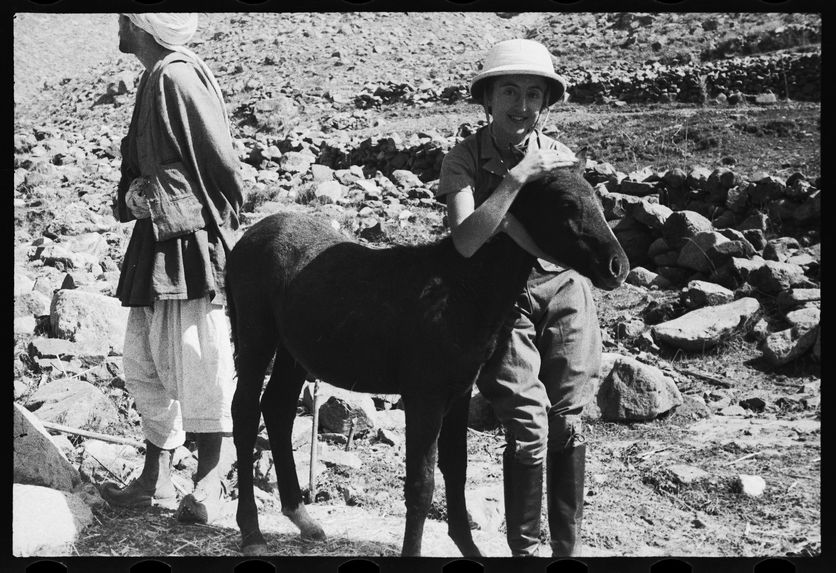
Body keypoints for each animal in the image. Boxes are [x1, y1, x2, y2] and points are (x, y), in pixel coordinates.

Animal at [225, 156, 632, 556]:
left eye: (599, 202)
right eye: (565, 204)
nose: (618, 266)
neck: (460, 286)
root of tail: (249, 237)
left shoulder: (458, 393)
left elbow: (456, 467)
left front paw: (469, 548)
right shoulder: (425, 397)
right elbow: (421, 484)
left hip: (293, 351)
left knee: (277, 410)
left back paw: (302, 517)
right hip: (256, 339)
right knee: (244, 414)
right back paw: (252, 532)